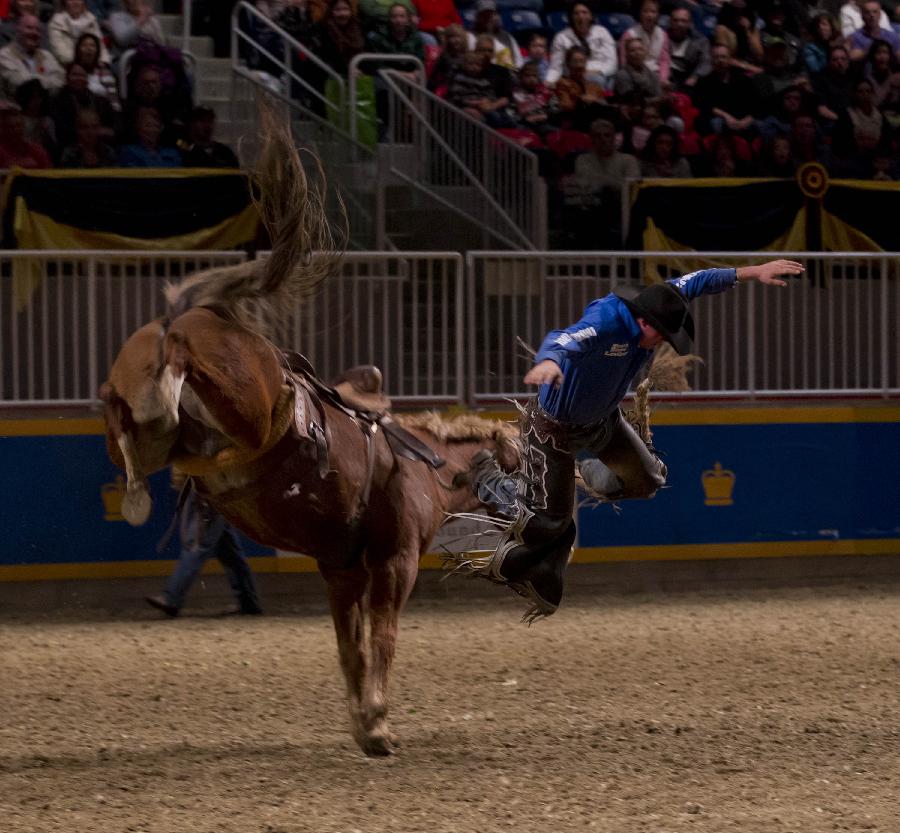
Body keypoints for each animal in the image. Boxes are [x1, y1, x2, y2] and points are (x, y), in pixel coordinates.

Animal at [95, 102, 516, 752]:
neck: (420, 464)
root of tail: (194, 318)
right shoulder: (394, 563)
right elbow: (382, 640)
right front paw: (378, 724)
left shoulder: (340, 569)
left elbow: (351, 648)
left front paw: (364, 721)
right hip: (247, 403)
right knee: (190, 373)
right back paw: (177, 387)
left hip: (147, 425)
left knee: (133, 426)